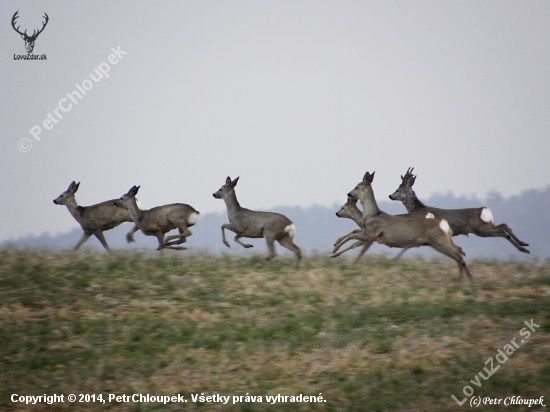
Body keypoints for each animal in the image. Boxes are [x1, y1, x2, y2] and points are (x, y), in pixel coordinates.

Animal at [334, 171, 472, 280]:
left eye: (357, 187)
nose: (349, 194)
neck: (370, 215)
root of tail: (441, 222)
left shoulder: (369, 235)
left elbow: (353, 239)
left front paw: (335, 251)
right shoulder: (369, 236)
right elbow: (353, 238)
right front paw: (337, 249)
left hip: (438, 241)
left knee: (458, 256)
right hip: (441, 239)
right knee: (459, 252)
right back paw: (466, 279)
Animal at [390, 167, 532, 254]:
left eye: (398, 189)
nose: (390, 195)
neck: (417, 208)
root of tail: (482, 210)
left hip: (479, 229)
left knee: (502, 231)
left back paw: (522, 248)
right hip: (485, 225)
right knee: (504, 225)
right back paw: (524, 245)